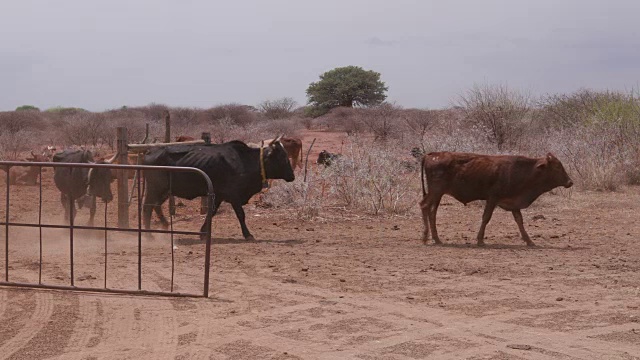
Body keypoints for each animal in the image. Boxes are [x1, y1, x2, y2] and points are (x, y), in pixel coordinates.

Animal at [142, 134, 296, 239]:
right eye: (282, 157)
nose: (292, 176)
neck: (246, 161)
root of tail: (148, 153)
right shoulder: (233, 195)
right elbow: (241, 214)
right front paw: (248, 234)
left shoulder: (219, 195)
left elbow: (212, 212)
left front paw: (203, 232)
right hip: (155, 189)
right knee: (148, 207)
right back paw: (149, 234)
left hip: (164, 191)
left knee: (156, 206)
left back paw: (165, 225)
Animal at [420, 152, 576, 248]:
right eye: (557, 166)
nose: (570, 182)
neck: (523, 171)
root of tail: (432, 154)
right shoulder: (492, 199)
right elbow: (486, 218)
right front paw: (480, 240)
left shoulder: (514, 203)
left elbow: (519, 220)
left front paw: (529, 241)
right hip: (435, 192)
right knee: (424, 206)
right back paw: (425, 237)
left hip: (438, 195)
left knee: (432, 212)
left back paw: (437, 239)